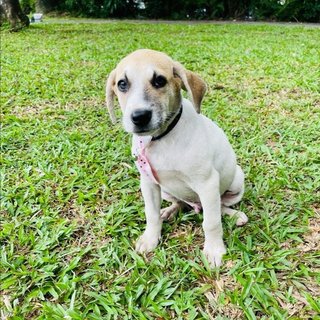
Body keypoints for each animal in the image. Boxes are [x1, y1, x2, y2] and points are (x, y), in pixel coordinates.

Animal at [105, 48, 248, 266]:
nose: (139, 117)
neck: (160, 139)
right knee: (181, 202)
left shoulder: (207, 184)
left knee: (218, 206)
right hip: (165, 190)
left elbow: (212, 221)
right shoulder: (148, 182)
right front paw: (150, 238)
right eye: (122, 84)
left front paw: (214, 250)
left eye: (159, 81)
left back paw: (234, 215)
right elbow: (151, 214)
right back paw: (169, 211)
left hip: (236, 180)